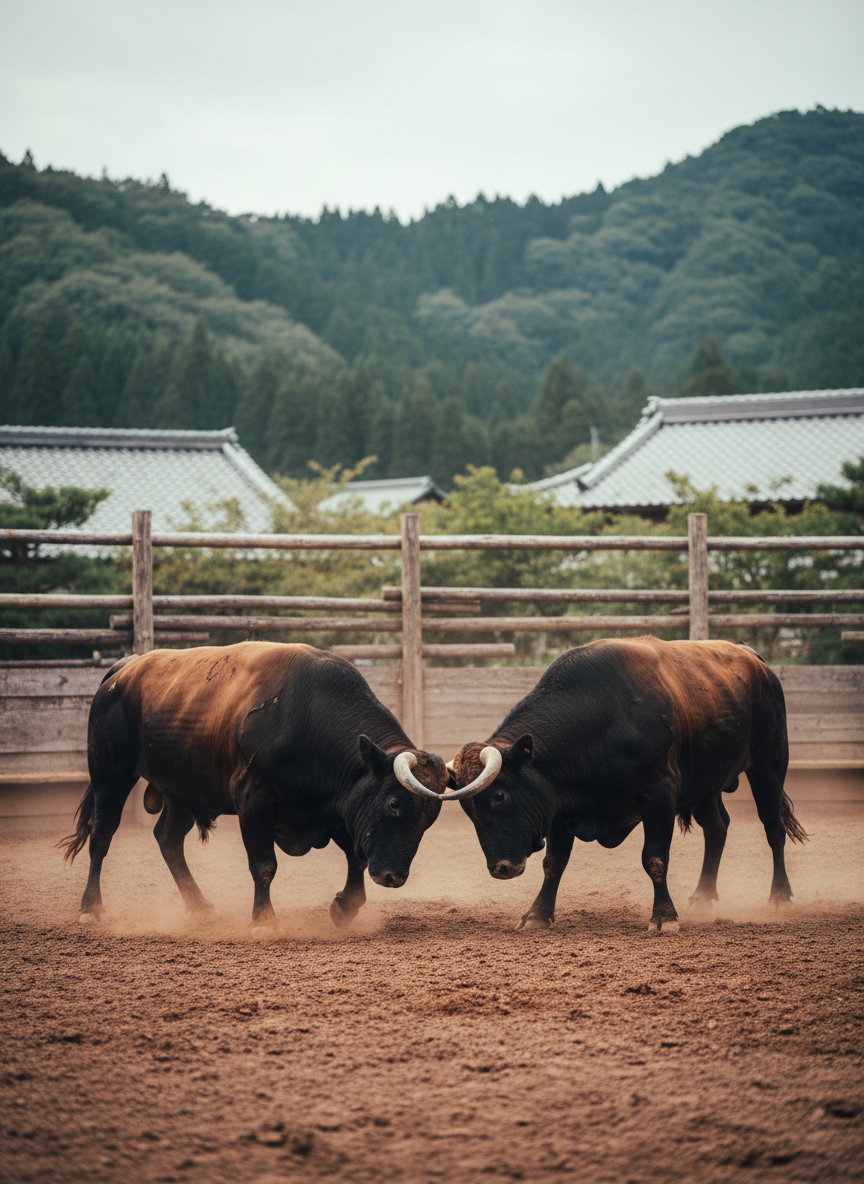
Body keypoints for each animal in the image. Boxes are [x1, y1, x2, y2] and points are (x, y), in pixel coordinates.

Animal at [60, 642, 448, 932]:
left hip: (182, 790)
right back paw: (91, 908)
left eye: (429, 820)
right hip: (111, 775)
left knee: (168, 838)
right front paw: (264, 922)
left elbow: (356, 857)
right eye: (394, 804)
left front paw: (344, 908)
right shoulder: (254, 801)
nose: (393, 876)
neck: (310, 720)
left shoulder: (338, 809)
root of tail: (125, 668)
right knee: (102, 834)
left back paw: (198, 906)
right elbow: (264, 864)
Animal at [441, 637, 807, 934]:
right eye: (468, 809)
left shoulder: (660, 794)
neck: (601, 722)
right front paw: (537, 915)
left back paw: (780, 896)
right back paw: (703, 896)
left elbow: (654, 858)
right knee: (717, 828)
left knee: (773, 827)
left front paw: (664, 917)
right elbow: (554, 863)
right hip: (706, 783)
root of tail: (753, 659)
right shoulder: (558, 804)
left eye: (500, 795)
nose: (501, 868)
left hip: (769, 766)